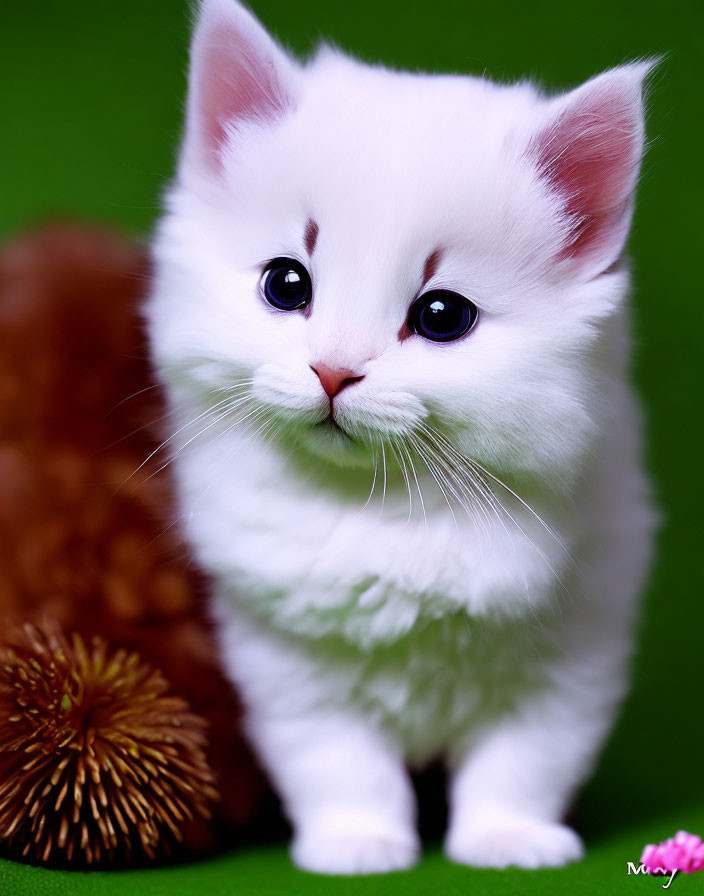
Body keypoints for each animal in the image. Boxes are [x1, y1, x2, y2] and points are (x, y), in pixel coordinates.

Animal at [147, 0, 656, 872]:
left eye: (442, 315)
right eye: (286, 285)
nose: (332, 371)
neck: (386, 505)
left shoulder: (569, 665)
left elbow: (522, 765)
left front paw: (508, 843)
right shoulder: (292, 672)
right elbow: (344, 769)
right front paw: (359, 846)